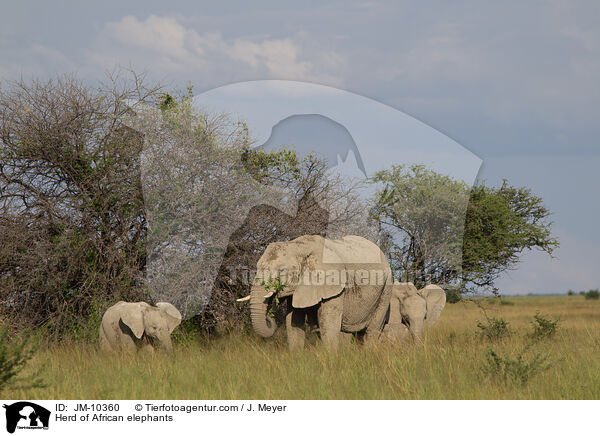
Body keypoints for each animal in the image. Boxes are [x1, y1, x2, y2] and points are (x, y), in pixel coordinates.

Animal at [237, 235, 396, 350]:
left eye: (282, 271)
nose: (270, 318)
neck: (299, 246)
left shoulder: (334, 286)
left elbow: (327, 324)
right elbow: (293, 323)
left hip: (386, 288)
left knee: (372, 331)